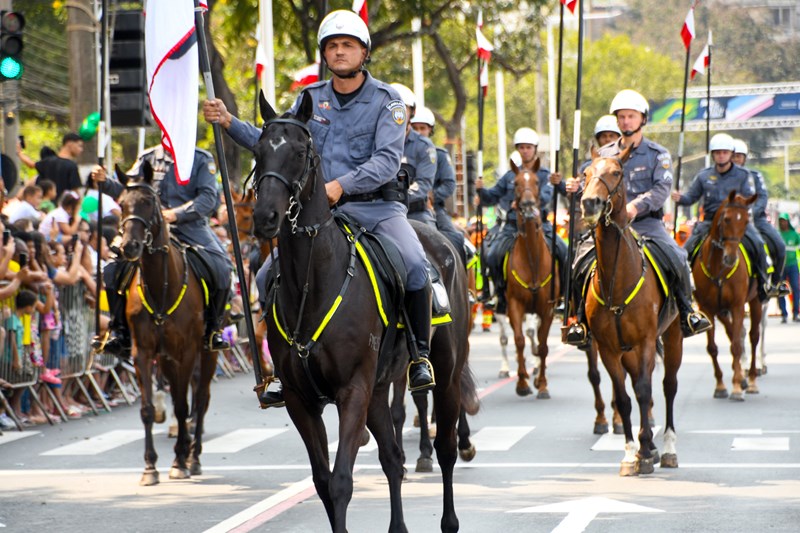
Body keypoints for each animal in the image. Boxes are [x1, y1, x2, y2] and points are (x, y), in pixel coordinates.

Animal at [115, 164, 216, 484]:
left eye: (149, 202)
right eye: (121, 204)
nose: (129, 247)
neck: (162, 285)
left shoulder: (187, 352)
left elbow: (185, 407)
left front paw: (179, 461)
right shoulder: (144, 353)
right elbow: (148, 409)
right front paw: (150, 467)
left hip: (207, 352)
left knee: (201, 399)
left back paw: (193, 456)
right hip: (168, 358)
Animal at [252, 92, 476, 532]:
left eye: (300, 152)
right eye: (258, 150)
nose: (265, 216)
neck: (314, 282)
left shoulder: (352, 390)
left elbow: (341, 482)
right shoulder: (302, 400)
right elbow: (324, 483)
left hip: (445, 373)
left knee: (445, 447)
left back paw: (449, 517)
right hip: (377, 390)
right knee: (393, 459)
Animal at [580, 145, 684, 474]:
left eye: (616, 172)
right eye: (585, 173)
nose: (589, 202)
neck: (618, 279)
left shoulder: (647, 341)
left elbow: (644, 391)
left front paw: (647, 449)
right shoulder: (608, 349)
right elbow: (625, 398)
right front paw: (631, 454)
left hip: (673, 336)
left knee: (667, 386)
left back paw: (667, 448)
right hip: (628, 352)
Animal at [692, 191, 760, 400]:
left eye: (746, 221)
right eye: (727, 219)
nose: (730, 258)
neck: (718, 267)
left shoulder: (738, 305)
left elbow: (737, 345)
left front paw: (737, 387)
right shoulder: (707, 308)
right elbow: (713, 347)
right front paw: (721, 386)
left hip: (756, 301)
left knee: (753, 337)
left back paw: (751, 380)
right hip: (721, 310)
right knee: (733, 333)